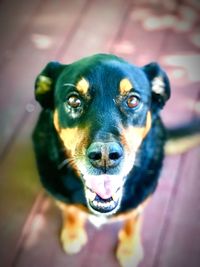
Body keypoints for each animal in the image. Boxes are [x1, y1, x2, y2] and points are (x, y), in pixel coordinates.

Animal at [32, 53, 178, 266]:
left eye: (133, 101)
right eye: (73, 100)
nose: (105, 156)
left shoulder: (140, 202)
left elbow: (133, 221)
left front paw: (129, 249)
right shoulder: (60, 196)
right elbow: (70, 212)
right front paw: (72, 235)